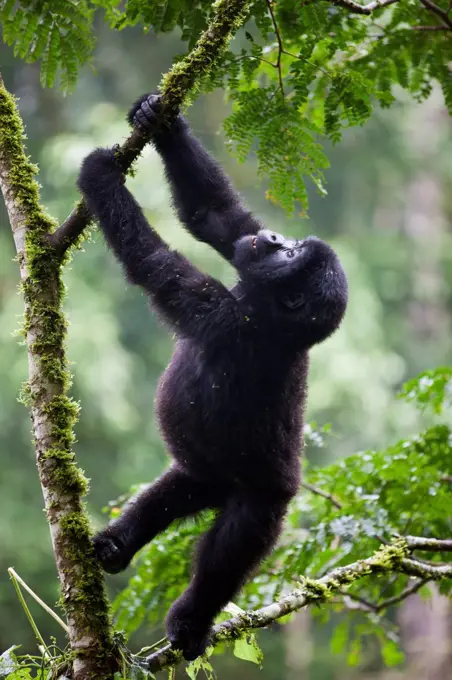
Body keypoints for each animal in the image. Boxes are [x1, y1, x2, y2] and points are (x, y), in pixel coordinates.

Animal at [77, 93, 348, 660]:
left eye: (293, 254)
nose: (277, 236)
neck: (267, 312)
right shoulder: (241, 261)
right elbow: (217, 217)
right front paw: (158, 119)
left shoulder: (222, 317)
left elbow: (153, 264)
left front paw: (100, 178)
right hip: (214, 470)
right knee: (181, 488)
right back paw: (118, 544)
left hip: (263, 499)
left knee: (233, 547)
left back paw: (192, 619)